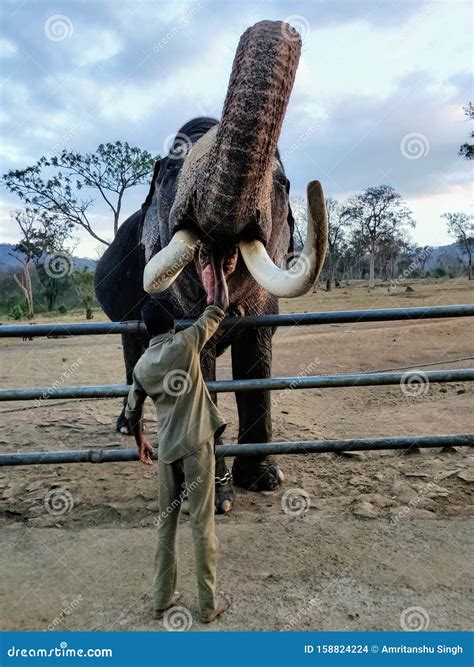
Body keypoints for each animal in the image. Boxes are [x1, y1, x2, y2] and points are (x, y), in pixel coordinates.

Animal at [94, 18, 328, 516]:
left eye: (284, 185)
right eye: (168, 172)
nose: (281, 25)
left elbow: (256, 351)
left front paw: (265, 481)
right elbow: (194, 362)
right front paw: (213, 500)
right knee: (131, 343)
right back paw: (126, 428)